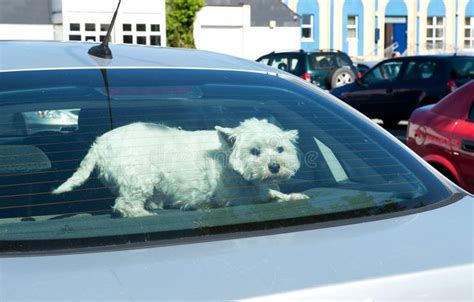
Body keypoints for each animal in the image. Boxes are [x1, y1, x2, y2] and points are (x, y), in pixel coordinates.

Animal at [53, 118, 310, 217]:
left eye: (280, 149)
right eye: (254, 151)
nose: (274, 166)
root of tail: (98, 144)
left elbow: (273, 192)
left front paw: (293, 196)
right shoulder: (231, 197)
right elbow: (261, 198)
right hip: (139, 176)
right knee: (124, 204)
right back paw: (143, 213)